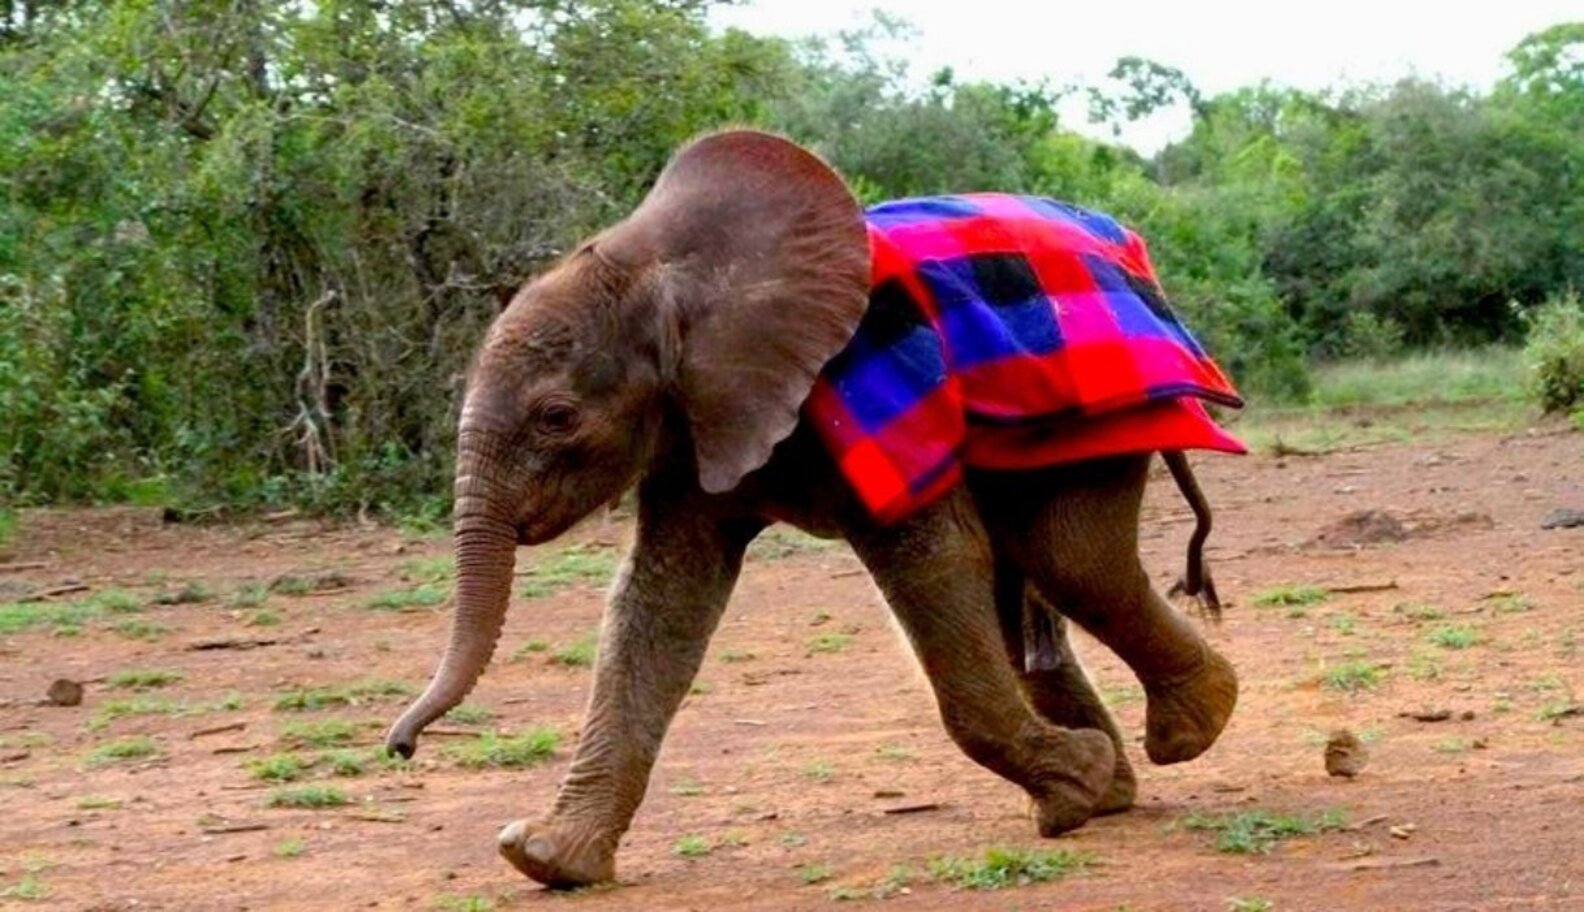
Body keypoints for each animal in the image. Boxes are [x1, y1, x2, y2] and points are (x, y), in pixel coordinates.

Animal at [385, 129, 1241, 889]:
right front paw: (546, 860)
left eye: (556, 417)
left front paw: (1075, 783)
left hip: (1096, 416)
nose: (402, 749)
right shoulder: (697, 416)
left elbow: (931, 563)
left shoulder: (871, 396)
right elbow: (660, 602)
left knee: (1068, 559)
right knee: (1028, 580)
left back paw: (1182, 733)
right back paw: (1112, 794)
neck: (666, 270)